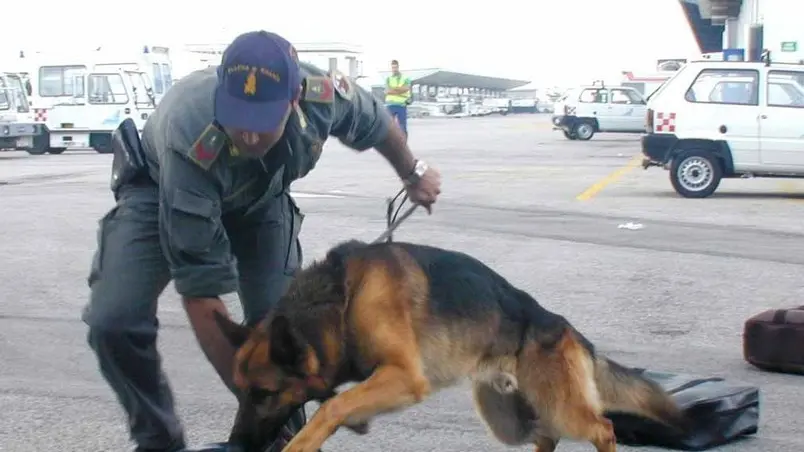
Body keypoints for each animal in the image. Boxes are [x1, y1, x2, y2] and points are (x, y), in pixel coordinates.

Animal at [217, 238, 688, 450]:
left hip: (560, 406)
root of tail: (566, 328)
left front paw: (303, 442)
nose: (237, 443)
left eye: (264, 393)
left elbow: (332, 406)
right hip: (508, 419)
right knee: (547, 434)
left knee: (601, 428)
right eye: (239, 392)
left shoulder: (404, 377)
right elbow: (339, 402)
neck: (341, 300)